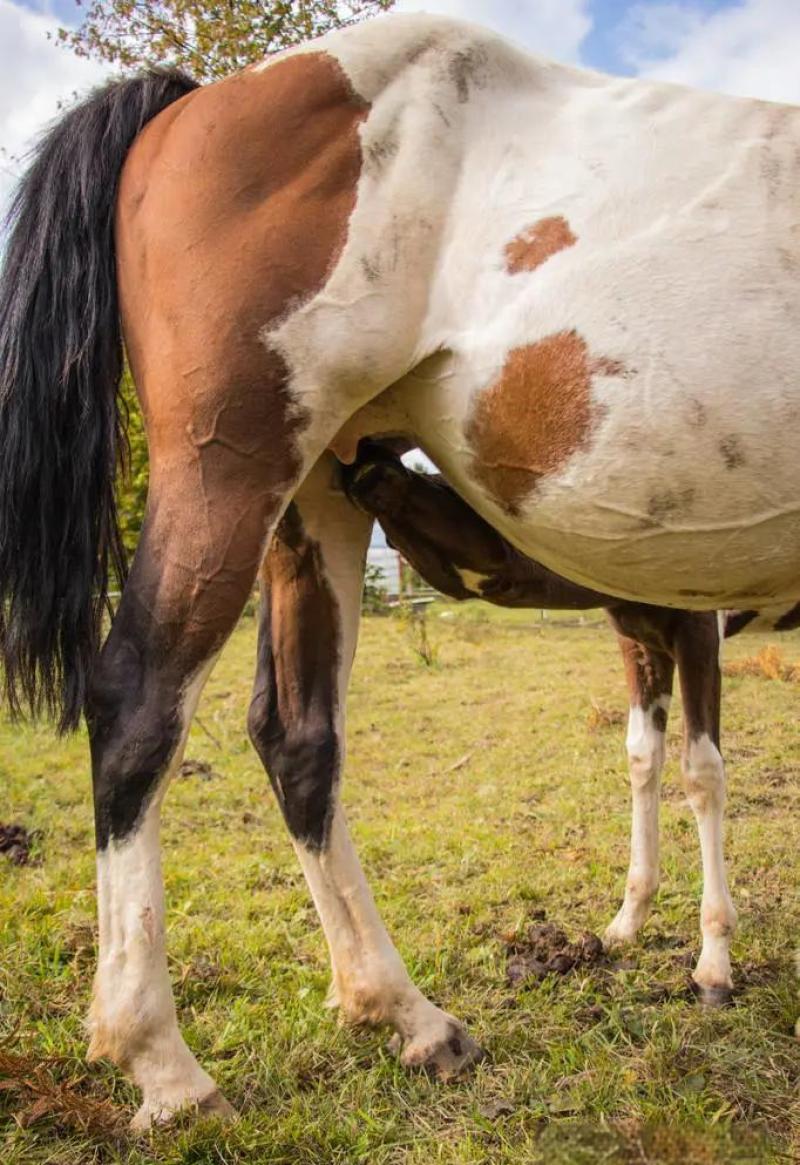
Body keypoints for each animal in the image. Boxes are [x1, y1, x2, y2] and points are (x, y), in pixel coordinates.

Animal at [1, 12, 798, 1128]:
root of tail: (194, 100)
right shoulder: (688, 620)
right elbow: (699, 770)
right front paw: (710, 958)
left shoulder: (650, 620)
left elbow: (648, 760)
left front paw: (638, 925)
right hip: (227, 467)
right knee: (135, 699)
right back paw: (165, 1065)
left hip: (311, 502)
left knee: (296, 735)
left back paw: (404, 1015)